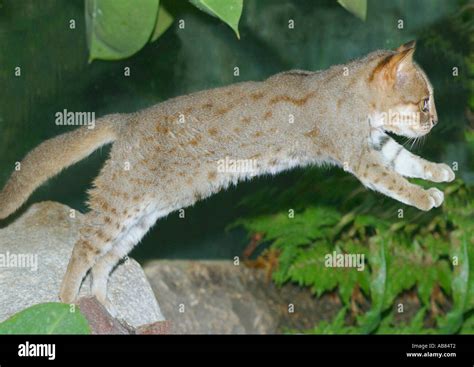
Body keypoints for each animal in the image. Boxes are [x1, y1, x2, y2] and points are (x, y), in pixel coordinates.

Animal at [0, 41, 452, 310]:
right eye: (424, 102)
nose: (435, 122)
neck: (355, 96)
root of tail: (127, 119)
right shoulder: (359, 157)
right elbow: (397, 183)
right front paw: (424, 196)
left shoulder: (378, 145)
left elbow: (407, 162)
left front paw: (440, 173)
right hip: (119, 205)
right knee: (82, 250)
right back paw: (66, 305)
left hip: (140, 220)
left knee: (105, 261)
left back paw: (107, 309)